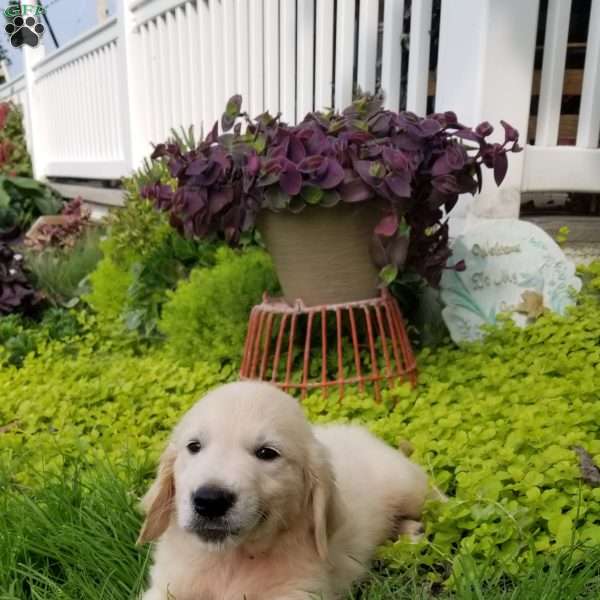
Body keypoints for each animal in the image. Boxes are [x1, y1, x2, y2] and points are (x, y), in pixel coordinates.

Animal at [139, 382, 440, 596]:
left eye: (267, 453)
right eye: (194, 446)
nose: (210, 500)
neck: (230, 560)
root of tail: (364, 433)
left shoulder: (300, 590)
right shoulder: (165, 587)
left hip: (409, 486)